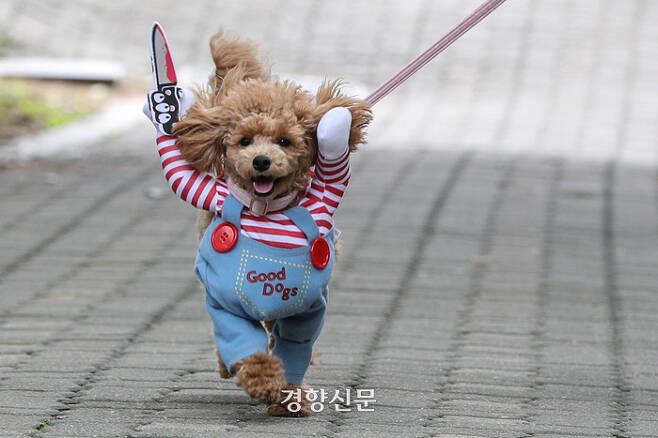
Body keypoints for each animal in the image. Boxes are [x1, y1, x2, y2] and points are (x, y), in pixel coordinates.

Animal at [145, 31, 368, 418]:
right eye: (245, 140)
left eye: (284, 141)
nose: (261, 161)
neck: (266, 208)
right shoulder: (226, 302)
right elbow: (244, 344)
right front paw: (263, 381)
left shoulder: (307, 312)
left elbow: (294, 347)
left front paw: (289, 396)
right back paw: (227, 365)